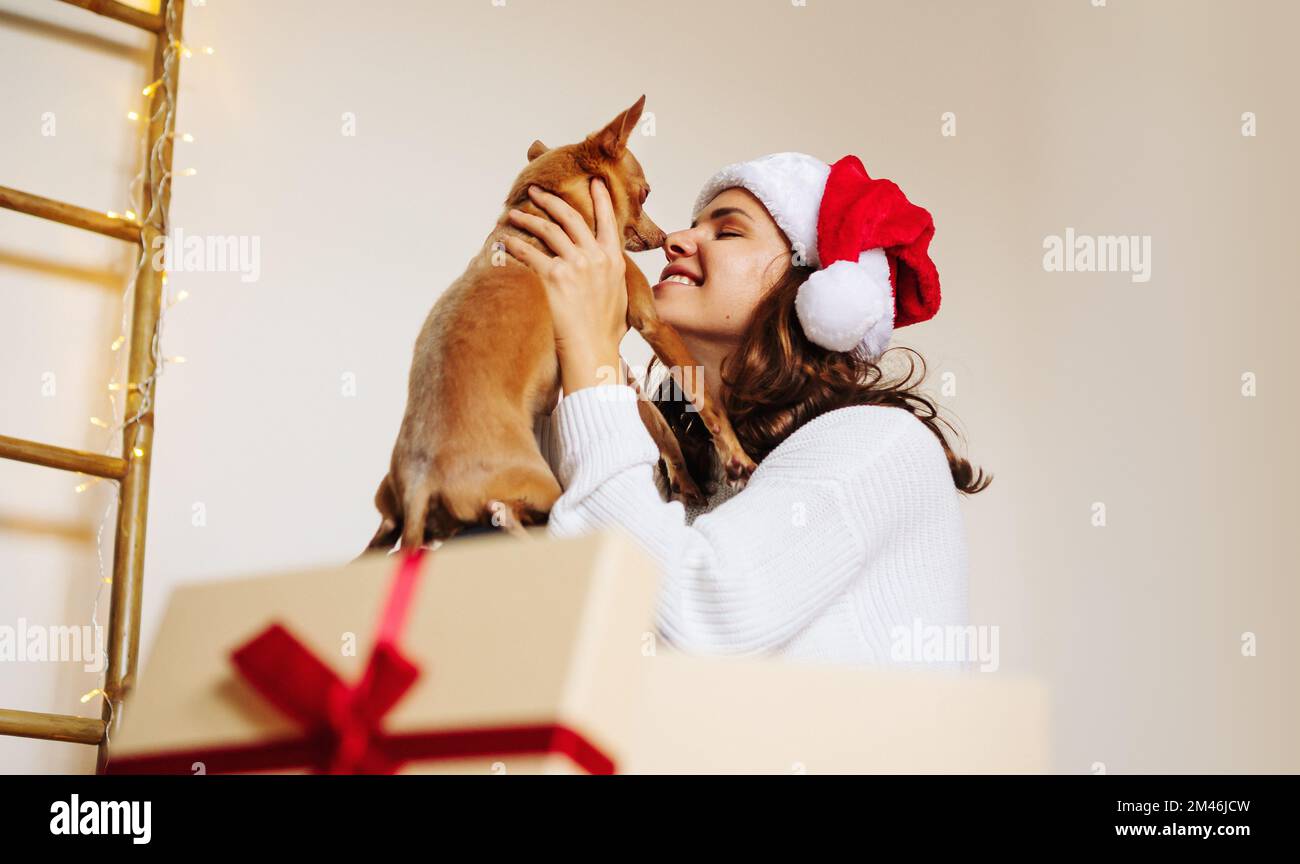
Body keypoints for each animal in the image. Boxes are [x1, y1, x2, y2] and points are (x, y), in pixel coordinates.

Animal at [364, 96, 754, 553]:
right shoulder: (651, 319)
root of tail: (419, 482)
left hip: (389, 520)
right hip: (541, 487)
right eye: (645, 193)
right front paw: (737, 458)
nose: (663, 238)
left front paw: (685, 482)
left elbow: (660, 428)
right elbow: (704, 397)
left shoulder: (616, 364)